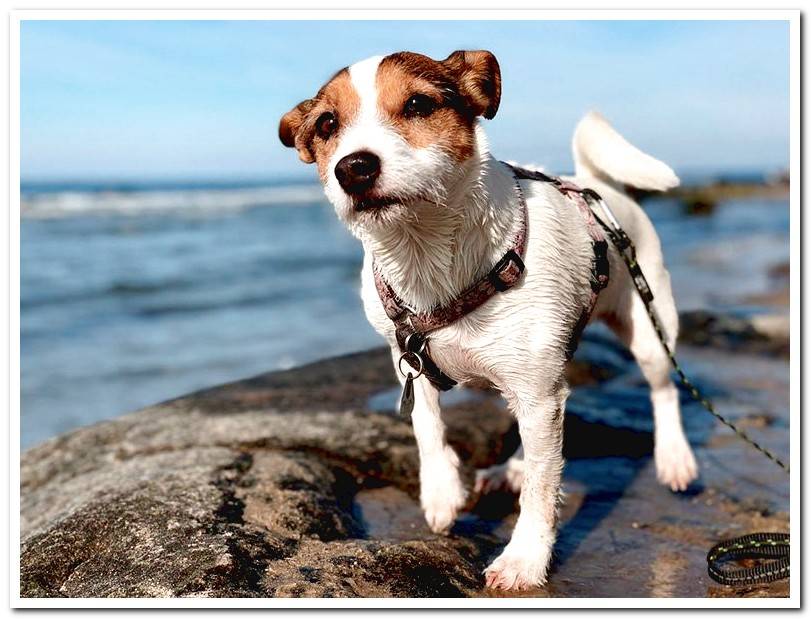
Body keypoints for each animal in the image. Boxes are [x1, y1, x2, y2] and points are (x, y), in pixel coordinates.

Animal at [280, 50, 696, 592]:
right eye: (327, 124)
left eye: (418, 105)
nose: (354, 167)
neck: (428, 259)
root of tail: (595, 185)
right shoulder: (409, 358)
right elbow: (427, 424)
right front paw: (441, 493)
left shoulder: (538, 394)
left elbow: (542, 487)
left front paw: (525, 559)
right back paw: (509, 468)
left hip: (647, 329)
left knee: (661, 391)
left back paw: (674, 457)